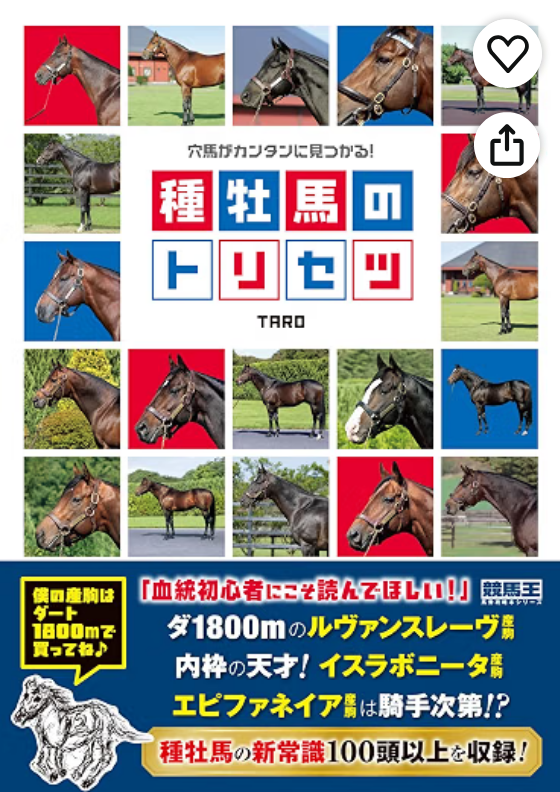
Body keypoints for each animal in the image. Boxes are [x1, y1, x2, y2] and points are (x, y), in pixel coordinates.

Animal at [12, 675, 152, 790]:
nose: (17, 717)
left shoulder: (54, 745)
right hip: (91, 740)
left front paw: (54, 774)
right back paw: (77, 774)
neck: (51, 721)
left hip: (102, 740)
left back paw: (87, 782)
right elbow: (46, 760)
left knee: (106, 758)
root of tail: (106, 710)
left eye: (37, 698)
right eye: (25, 695)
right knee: (90, 757)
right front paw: (60, 772)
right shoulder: (48, 745)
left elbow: (43, 762)